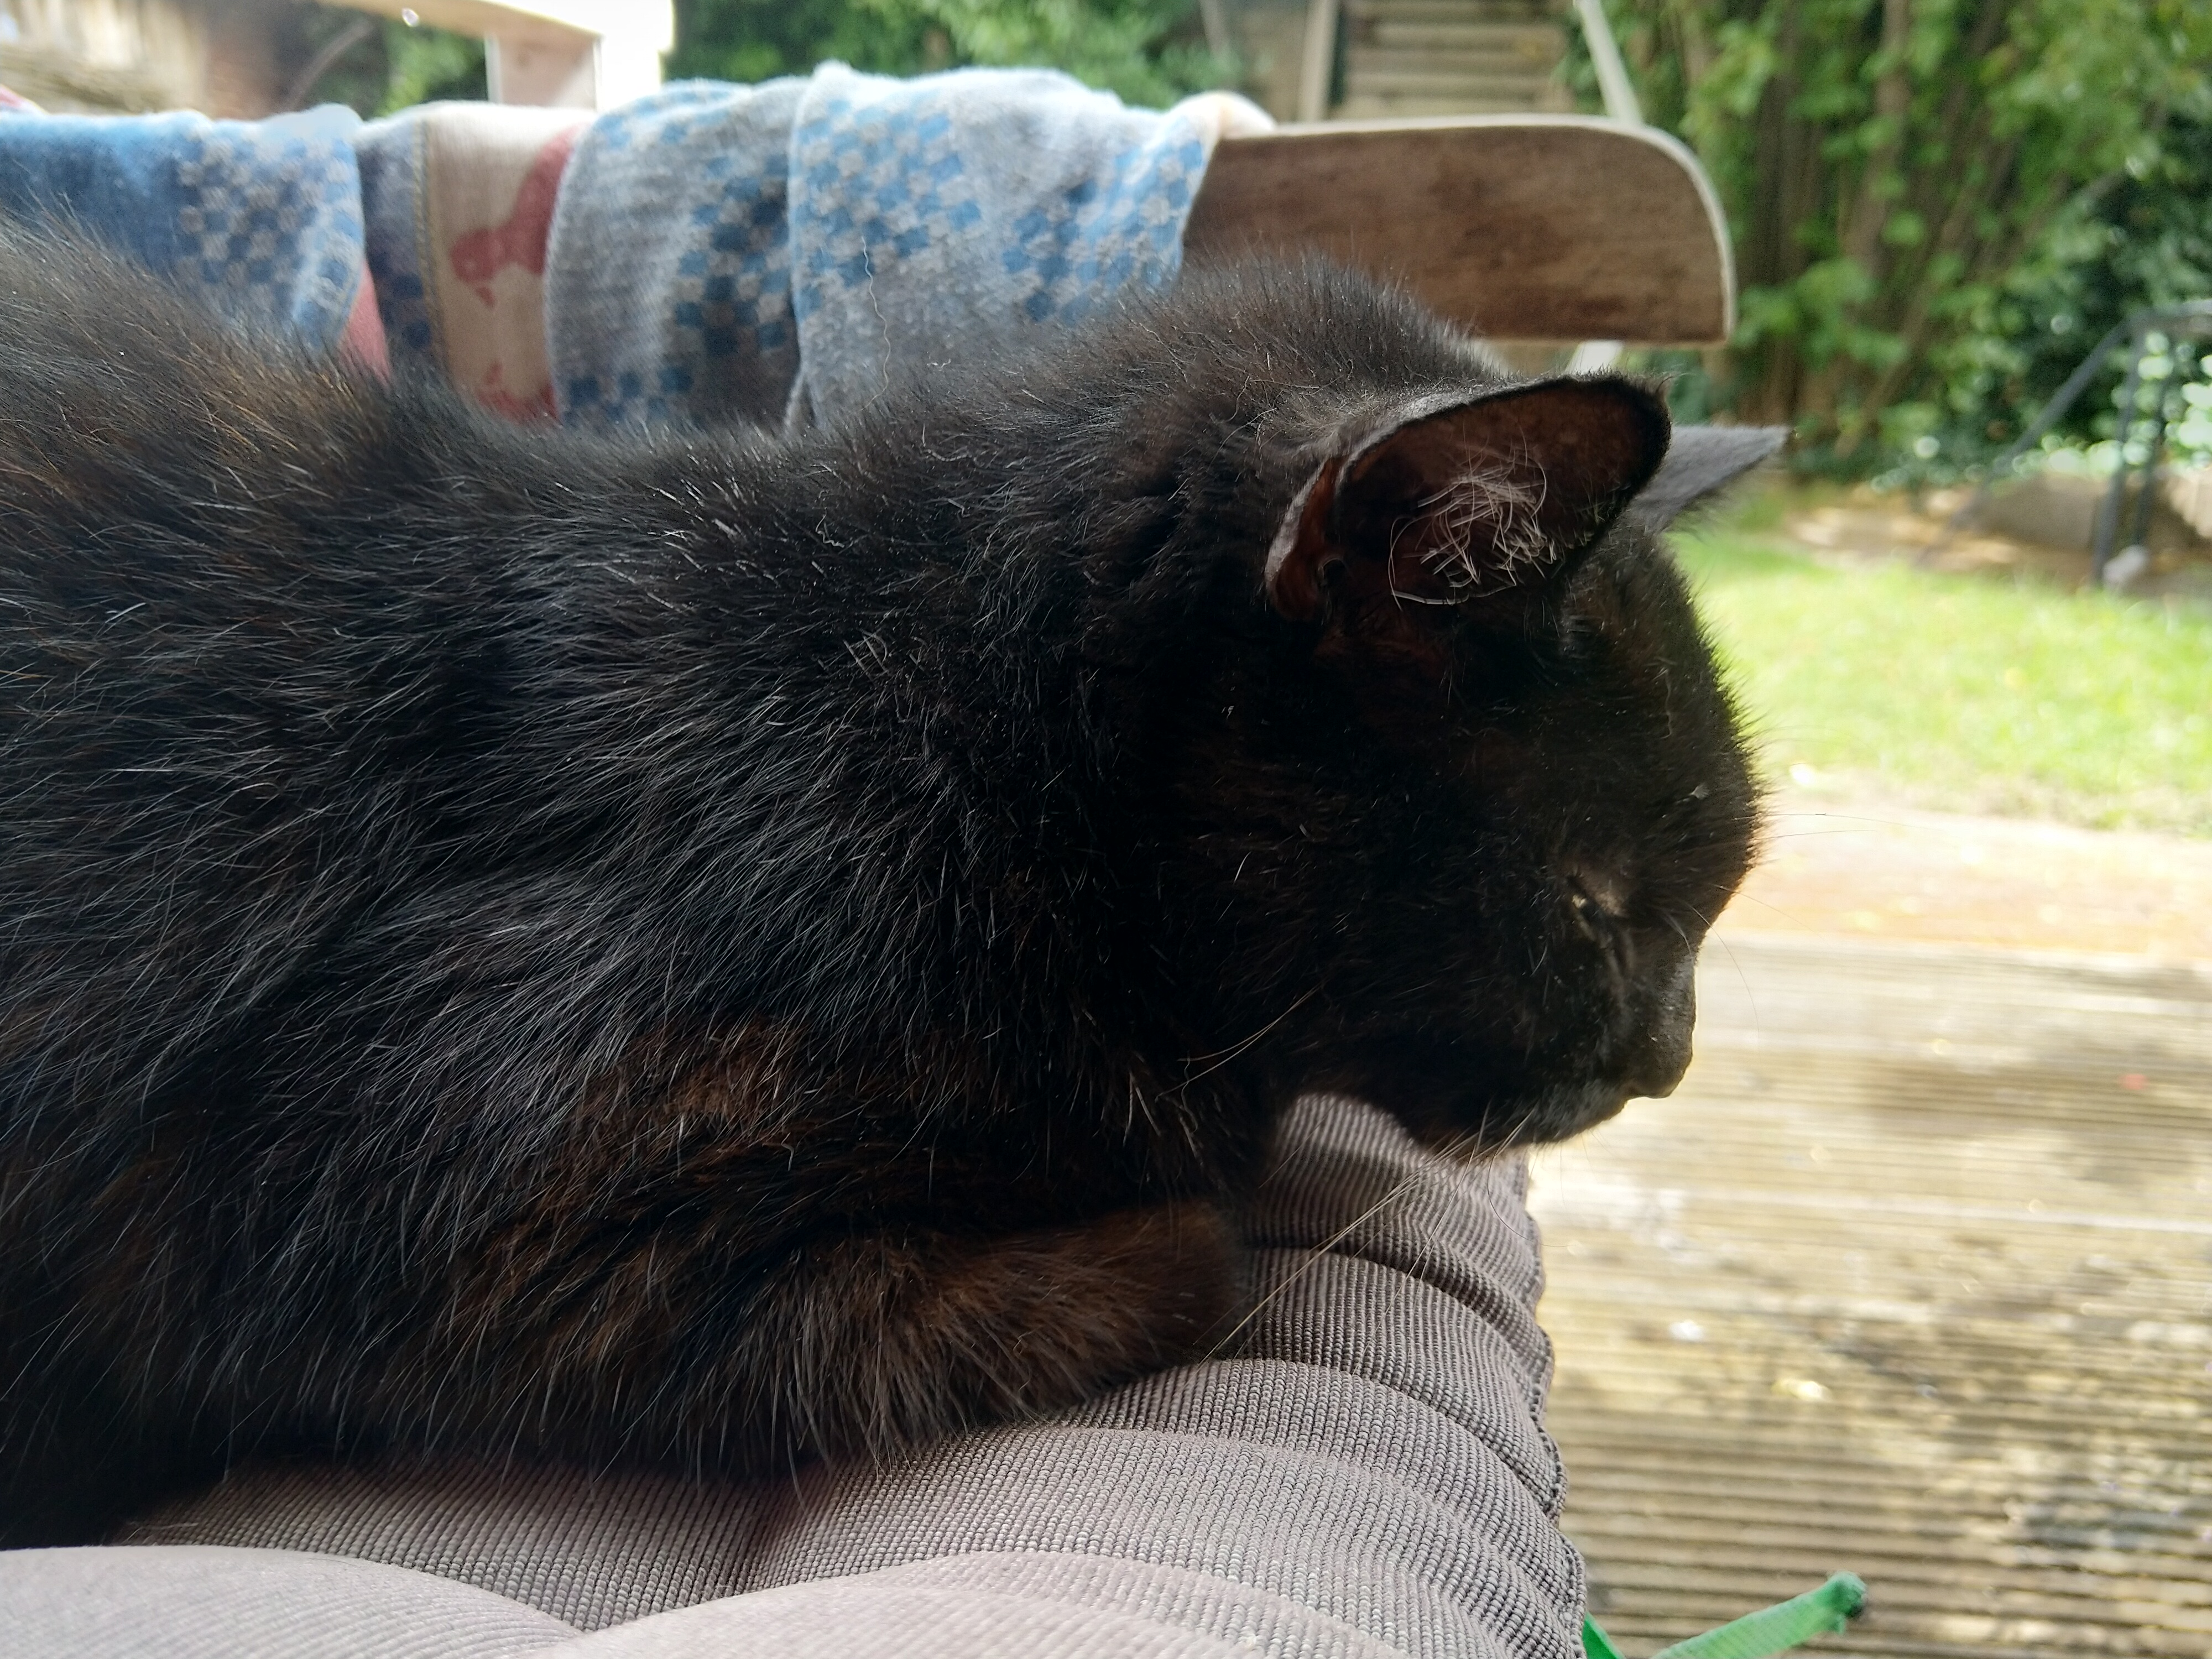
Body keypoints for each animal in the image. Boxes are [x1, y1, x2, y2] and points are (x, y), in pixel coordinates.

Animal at [0, 224, 1772, 1544]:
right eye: (1595, 900)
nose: (1672, 1059)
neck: (938, 735)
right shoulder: (401, 1219)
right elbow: (1156, 1262)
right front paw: (1185, 1209)